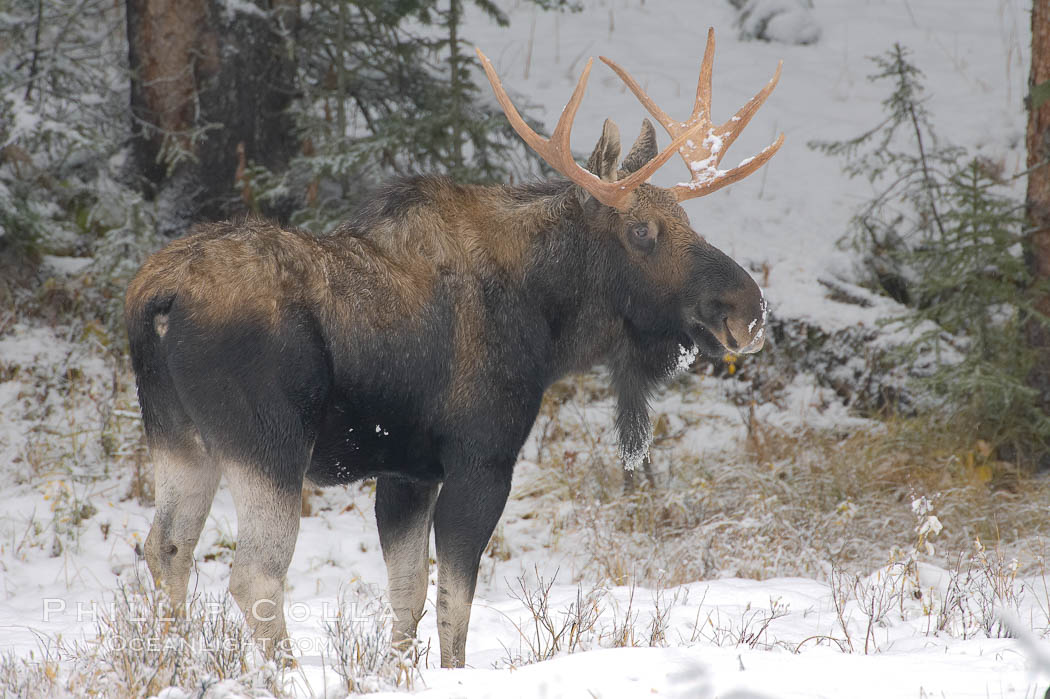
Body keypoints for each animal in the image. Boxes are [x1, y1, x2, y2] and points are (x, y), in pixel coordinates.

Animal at [124, 29, 781, 667]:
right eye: (642, 231)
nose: (748, 310)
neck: (549, 326)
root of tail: (158, 296)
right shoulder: (481, 459)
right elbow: (454, 605)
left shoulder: (407, 473)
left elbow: (408, 595)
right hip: (269, 444)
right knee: (254, 576)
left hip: (181, 437)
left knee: (167, 548)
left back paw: (169, 664)